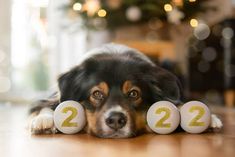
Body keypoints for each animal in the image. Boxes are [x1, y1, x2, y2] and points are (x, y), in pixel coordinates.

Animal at [28, 43, 222, 138]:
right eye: (97, 94)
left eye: (134, 94)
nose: (115, 120)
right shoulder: (53, 97)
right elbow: (43, 106)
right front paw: (44, 121)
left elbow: (177, 104)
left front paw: (208, 118)